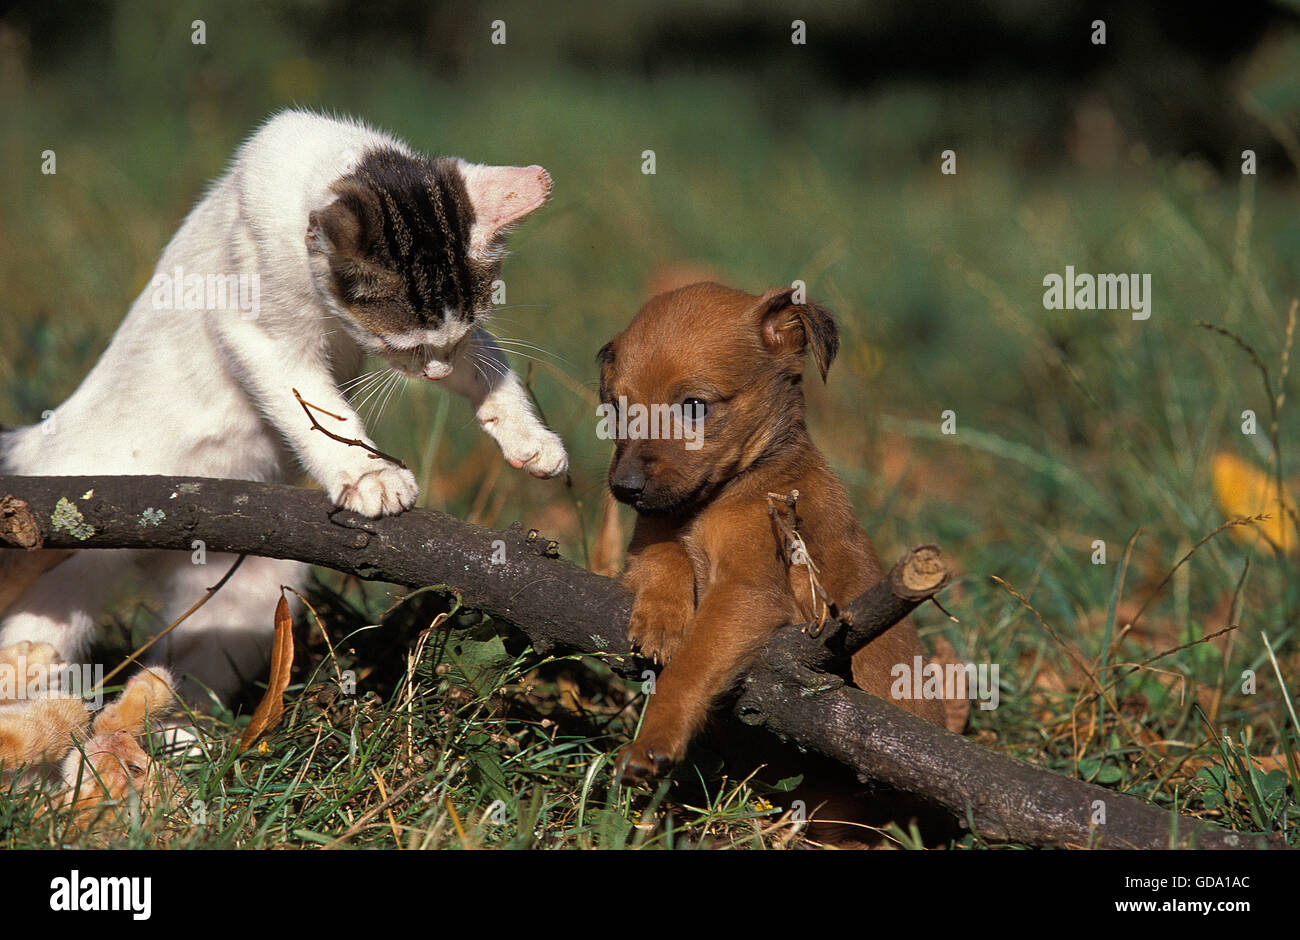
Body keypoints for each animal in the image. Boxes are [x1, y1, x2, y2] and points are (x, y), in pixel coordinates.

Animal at [1, 110, 569, 707]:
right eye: (403, 346)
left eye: (448, 343)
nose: (433, 372)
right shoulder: (261, 338)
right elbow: (320, 412)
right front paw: (369, 475)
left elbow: (488, 362)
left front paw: (530, 439)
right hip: (58, 564)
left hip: (249, 595)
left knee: (194, 675)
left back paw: (176, 729)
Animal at [598, 283, 946, 811]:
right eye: (617, 410)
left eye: (694, 406)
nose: (625, 487)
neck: (724, 495)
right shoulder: (649, 537)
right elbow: (664, 554)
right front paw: (661, 616)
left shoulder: (748, 593)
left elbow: (690, 667)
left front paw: (653, 739)